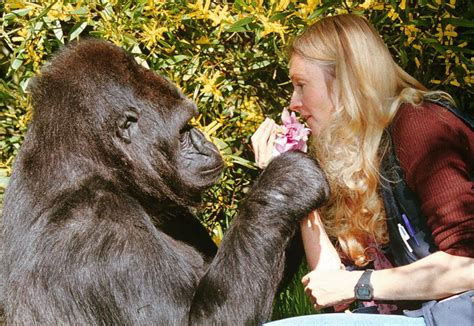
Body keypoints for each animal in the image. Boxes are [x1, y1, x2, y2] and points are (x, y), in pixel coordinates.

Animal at [0, 38, 328, 326]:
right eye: (183, 130)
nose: (206, 143)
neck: (94, 162)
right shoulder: (97, 224)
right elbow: (197, 320)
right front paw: (288, 181)